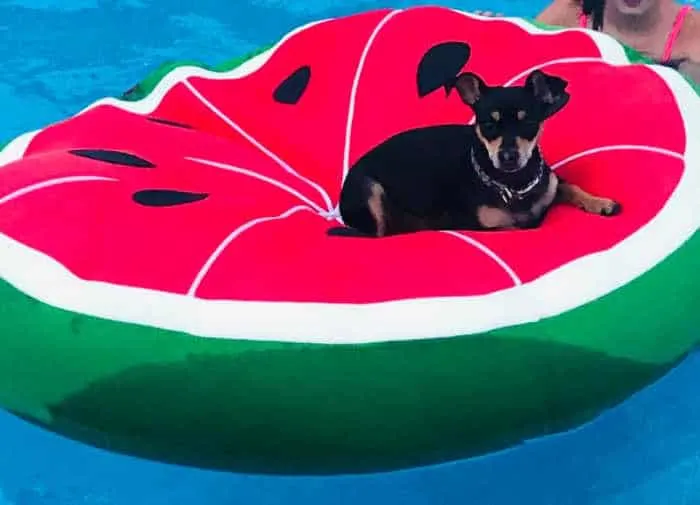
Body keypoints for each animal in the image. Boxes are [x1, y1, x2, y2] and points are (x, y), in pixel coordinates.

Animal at [330, 67, 620, 238]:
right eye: (488, 125)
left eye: (528, 123)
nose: (508, 156)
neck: (512, 184)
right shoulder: (489, 228)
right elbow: (516, 225)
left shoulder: (551, 181)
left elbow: (570, 187)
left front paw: (599, 202)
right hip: (370, 192)